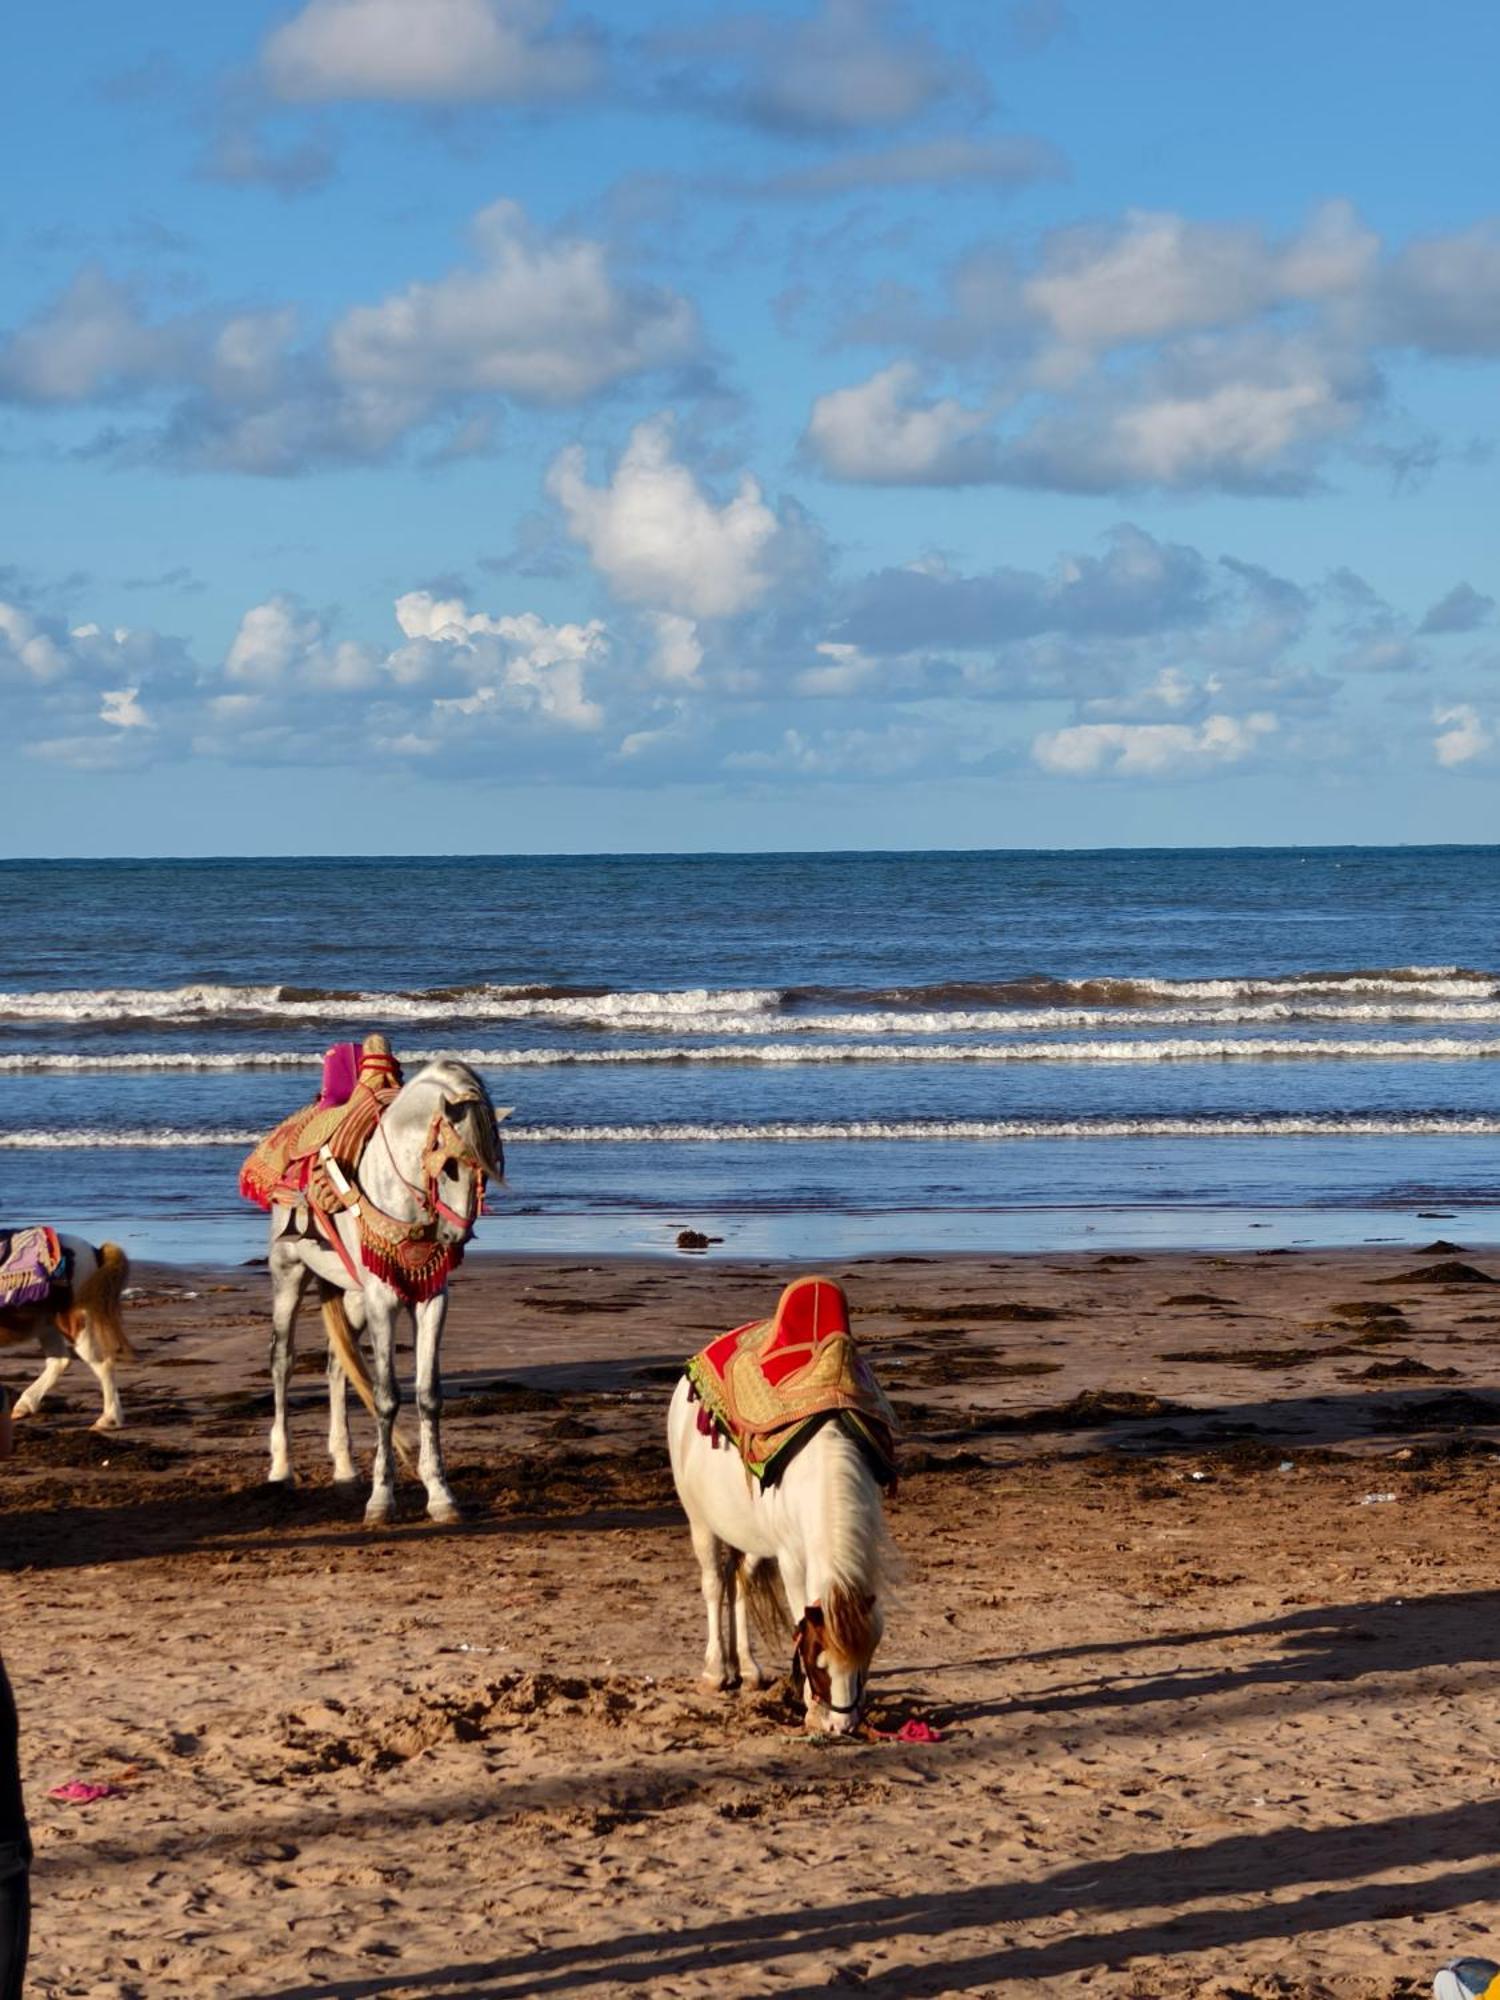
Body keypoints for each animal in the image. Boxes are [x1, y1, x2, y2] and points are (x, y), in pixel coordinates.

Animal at [0, 1240, 134, 1432]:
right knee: (60, 1361)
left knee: (103, 1364)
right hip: (47, 1324)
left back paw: (109, 1419)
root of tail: (95, 1252)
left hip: (74, 1323)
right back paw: (24, 1405)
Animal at [264, 1056, 506, 1520]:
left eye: (488, 1168)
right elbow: (386, 1396)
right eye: (450, 1165)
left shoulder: (431, 1299)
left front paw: (440, 1494)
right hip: (289, 1273)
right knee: (283, 1361)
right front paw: (382, 1498)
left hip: (353, 1295)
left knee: (337, 1364)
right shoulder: (384, 1300)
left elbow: (428, 1395)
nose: (455, 1236)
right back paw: (281, 1470)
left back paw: (344, 1469)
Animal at [668, 1376, 892, 1736]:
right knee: (713, 1584)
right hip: (700, 1522)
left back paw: (746, 1668)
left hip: (753, 1538)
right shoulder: (791, 1561)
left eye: (863, 1660)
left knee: (739, 1581)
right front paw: (813, 1709)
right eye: (817, 1662)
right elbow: (799, 1610)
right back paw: (716, 1672)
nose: (841, 1726)